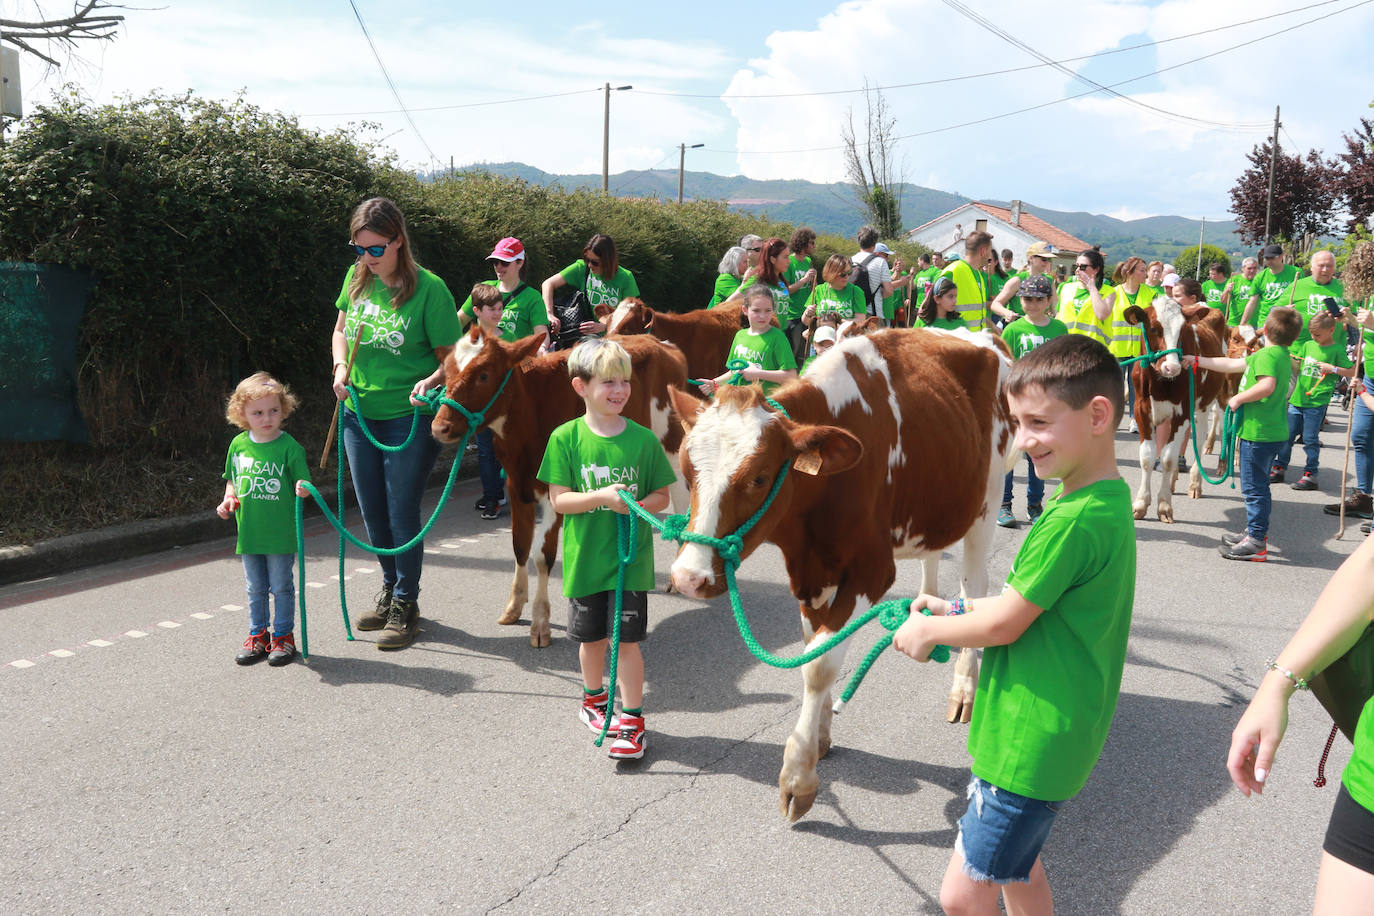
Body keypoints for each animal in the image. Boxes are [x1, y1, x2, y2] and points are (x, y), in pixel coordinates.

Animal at [428, 328, 687, 645]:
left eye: (484, 375)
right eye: (447, 371)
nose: (440, 427)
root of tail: (658, 342)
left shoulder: (555, 492)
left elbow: (542, 556)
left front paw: (540, 622)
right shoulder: (516, 485)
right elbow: (520, 546)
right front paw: (514, 605)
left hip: (670, 439)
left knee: (681, 495)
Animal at [665, 329, 1011, 823]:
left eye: (759, 478)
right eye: (687, 469)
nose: (688, 576)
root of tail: (976, 332)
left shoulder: (871, 571)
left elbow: (820, 664)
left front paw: (798, 776)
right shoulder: (811, 573)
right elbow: (813, 646)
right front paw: (822, 736)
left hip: (987, 496)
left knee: (976, 586)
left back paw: (964, 686)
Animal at [1126, 298, 1225, 519]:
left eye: (1182, 329)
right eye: (1154, 328)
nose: (1172, 368)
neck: (1160, 383)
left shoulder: (1183, 412)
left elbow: (1168, 458)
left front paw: (1164, 505)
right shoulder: (1141, 409)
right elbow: (1148, 456)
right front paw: (1141, 503)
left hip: (1208, 402)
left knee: (1203, 436)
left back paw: (1196, 482)